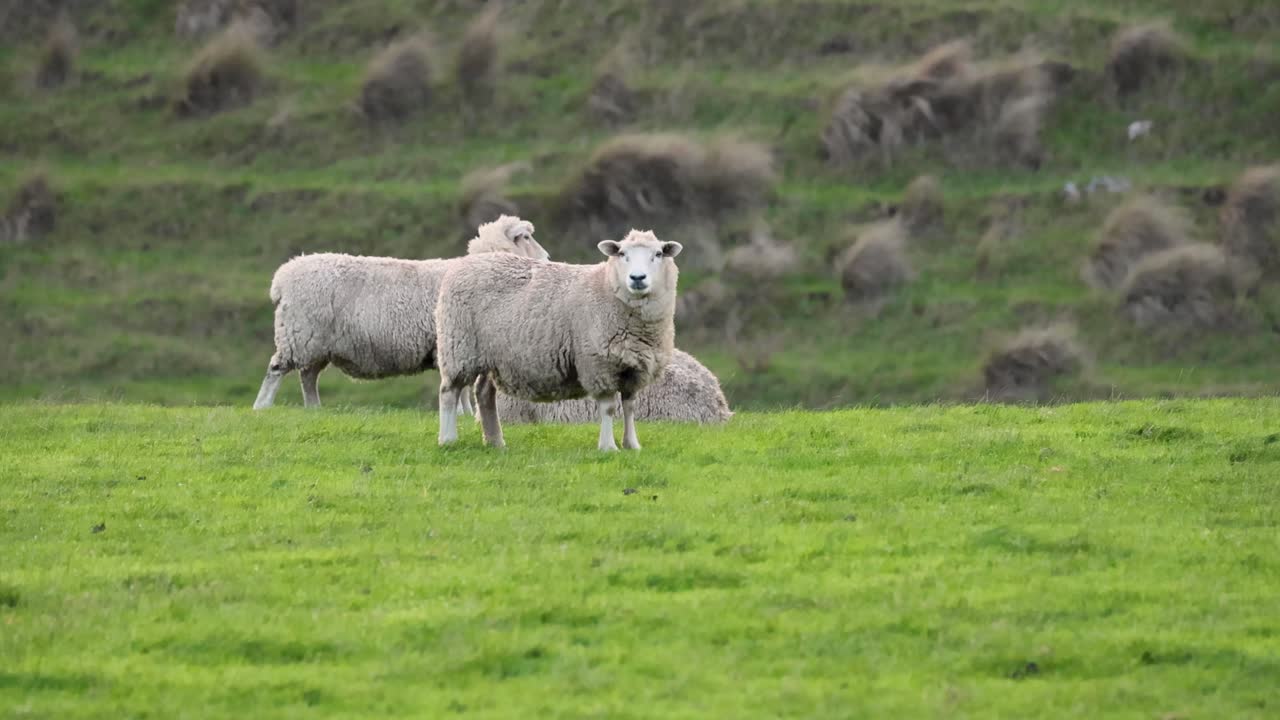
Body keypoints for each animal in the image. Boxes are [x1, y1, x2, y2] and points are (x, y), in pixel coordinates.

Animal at [252, 215, 548, 411]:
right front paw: (464, 413)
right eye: (527, 237)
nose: (546, 258)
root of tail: (283, 276)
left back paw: (314, 410)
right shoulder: (452, 346)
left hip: (316, 344)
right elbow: (460, 389)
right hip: (298, 335)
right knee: (276, 369)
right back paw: (262, 407)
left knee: (308, 377)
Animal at [435, 229, 682, 451]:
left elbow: (630, 407)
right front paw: (608, 447)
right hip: (459, 348)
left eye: (658, 254)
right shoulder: (598, 365)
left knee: (484, 394)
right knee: (449, 393)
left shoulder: (633, 368)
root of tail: (464, 263)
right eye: (622, 254)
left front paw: (632, 445)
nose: (637, 278)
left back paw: (495, 441)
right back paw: (448, 439)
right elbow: (609, 408)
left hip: (492, 354)